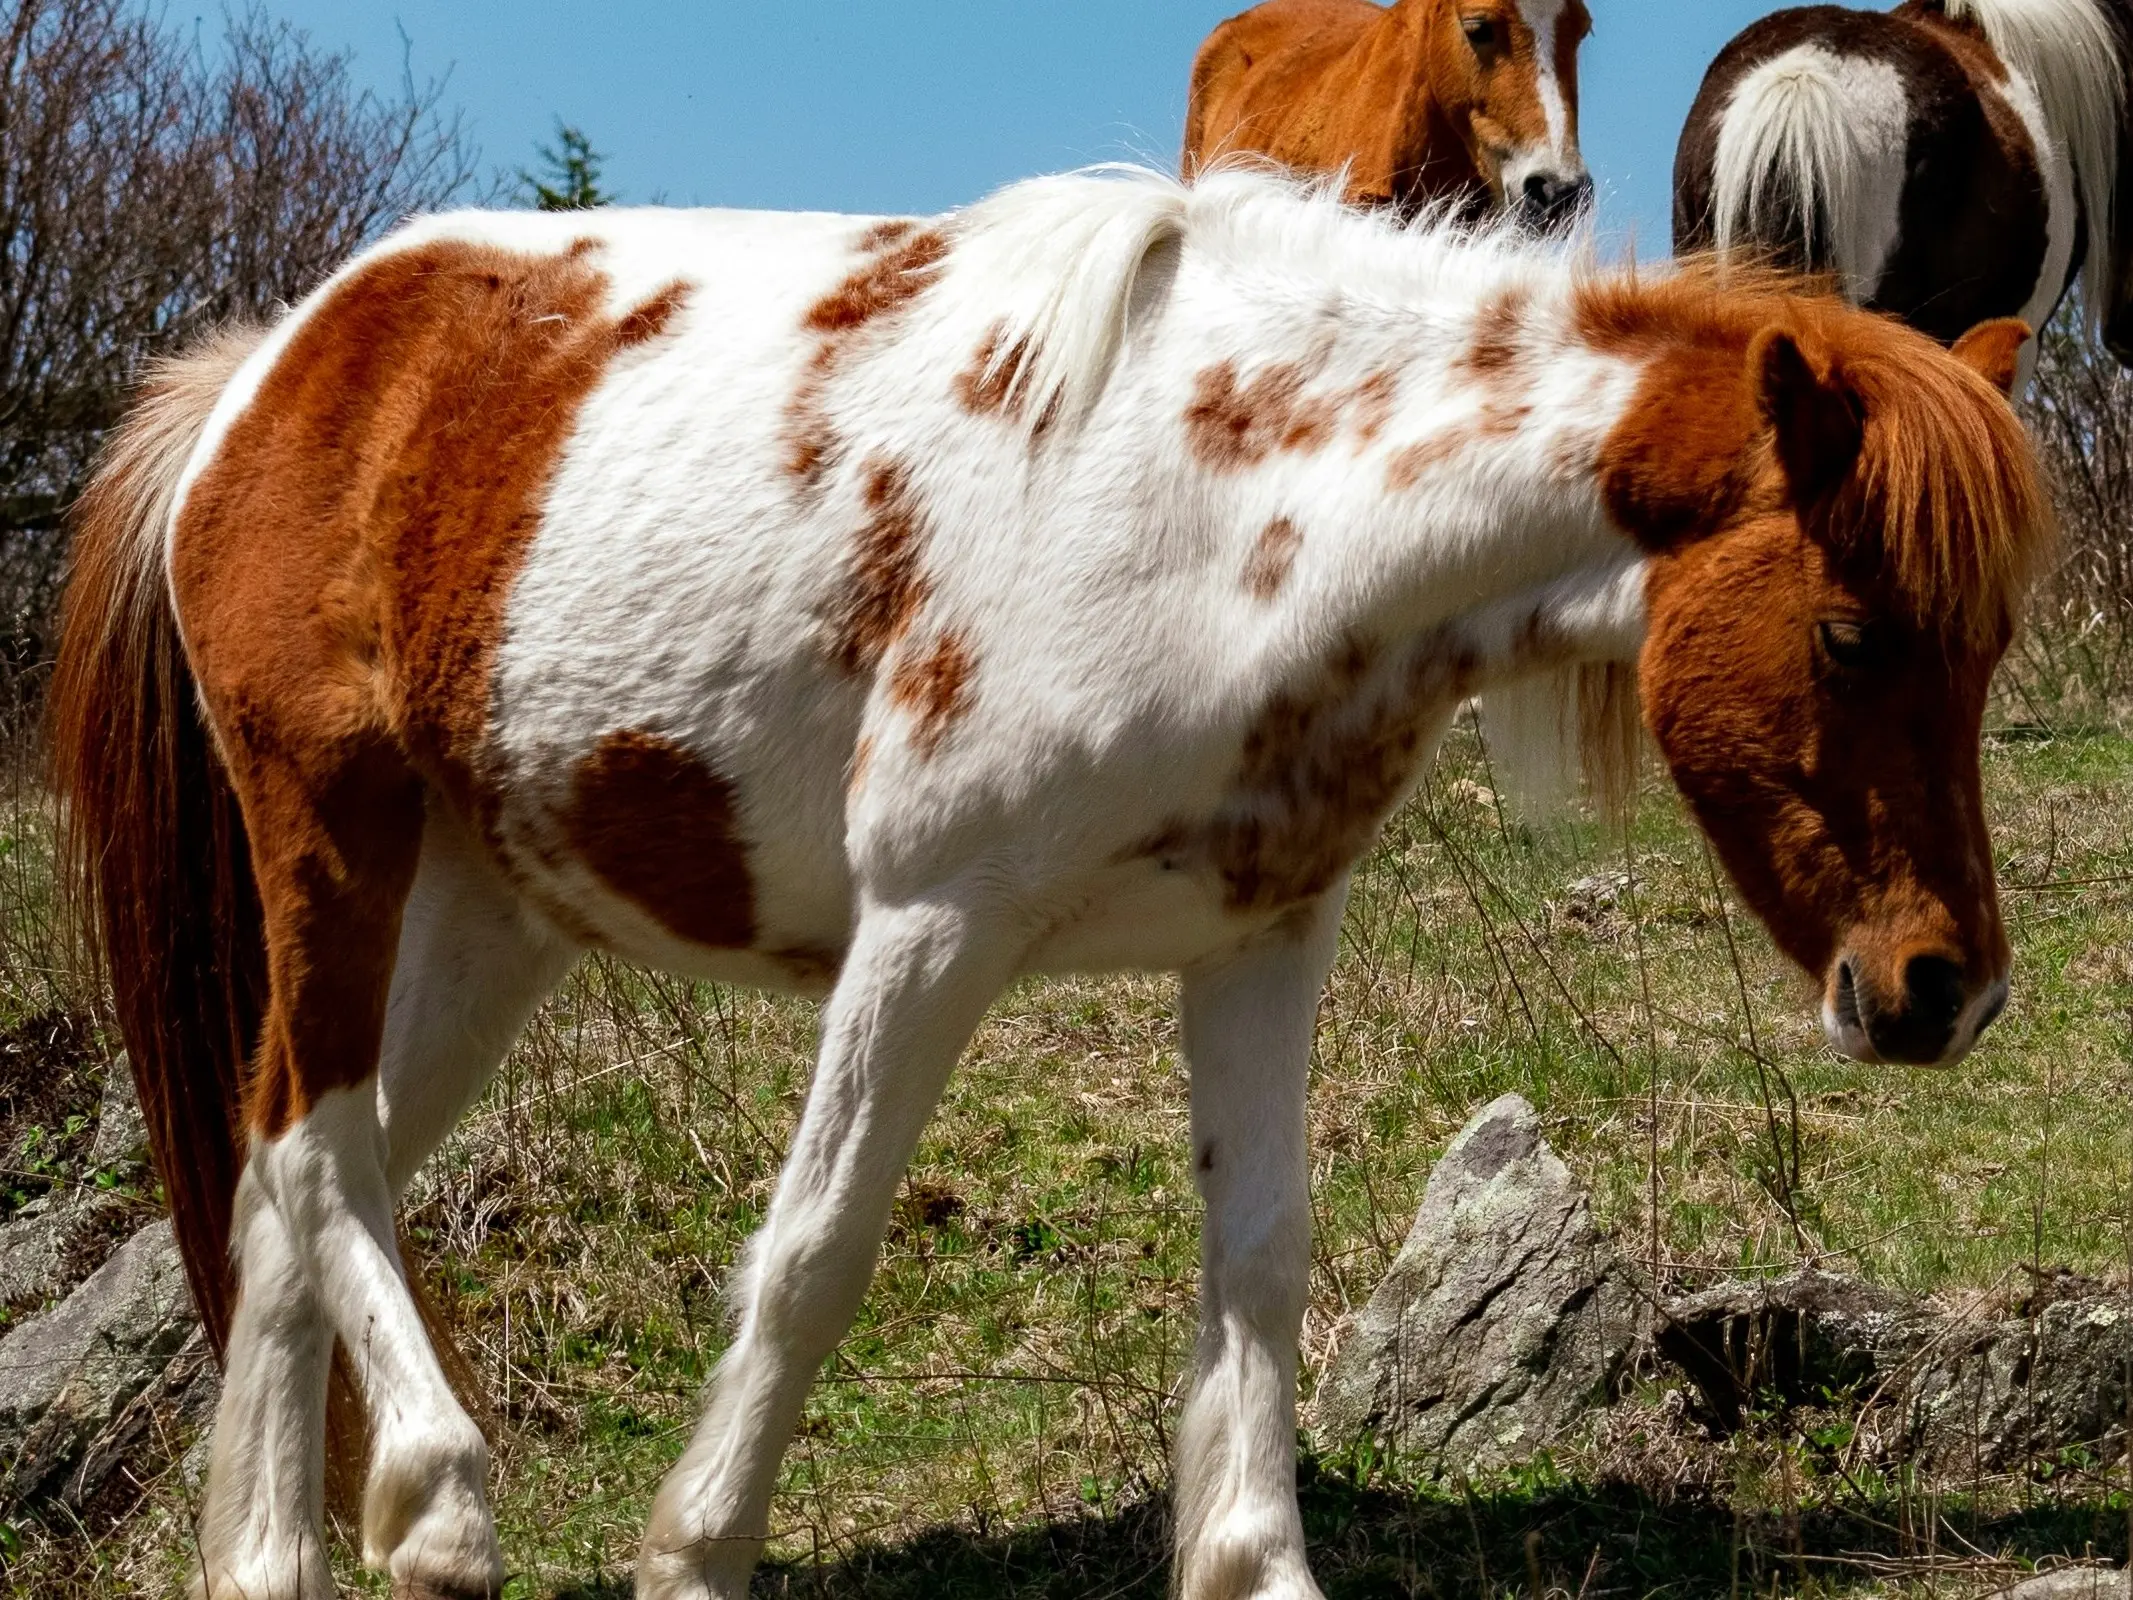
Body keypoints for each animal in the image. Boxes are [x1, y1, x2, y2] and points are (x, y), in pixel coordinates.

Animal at [54, 172, 2047, 1600]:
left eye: (1981, 651)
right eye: (1852, 632)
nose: (1942, 989)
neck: (1247, 509)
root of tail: (267, 368)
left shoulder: (1261, 940)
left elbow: (1260, 1257)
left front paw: (1250, 1566)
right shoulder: (931, 927)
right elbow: (815, 1252)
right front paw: (694, 1551)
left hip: (488, 913)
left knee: (286, 1174)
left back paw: (271, 1555)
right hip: (333, 833)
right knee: (315, 1144)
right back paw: (436, 1503)